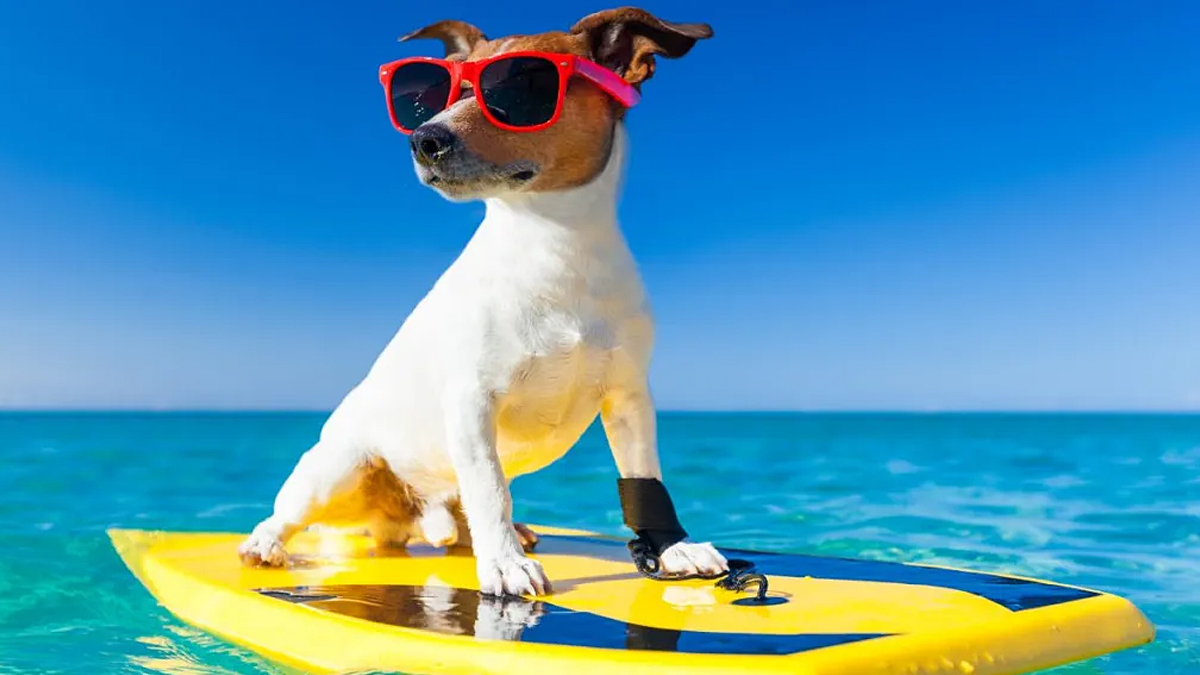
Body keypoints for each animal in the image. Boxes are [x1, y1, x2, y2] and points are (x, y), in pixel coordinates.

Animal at [234, 6, 720, 593]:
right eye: (439, 94)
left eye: (519, 87)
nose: (424, 138)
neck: (555, 243)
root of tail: (407, 516)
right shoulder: (472, 399)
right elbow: (489, 487)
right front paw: (505, 565)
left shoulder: (629, 399)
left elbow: (643, 479)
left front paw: (673, 549)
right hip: (337, 470)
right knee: (288, 512)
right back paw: (265, 543)